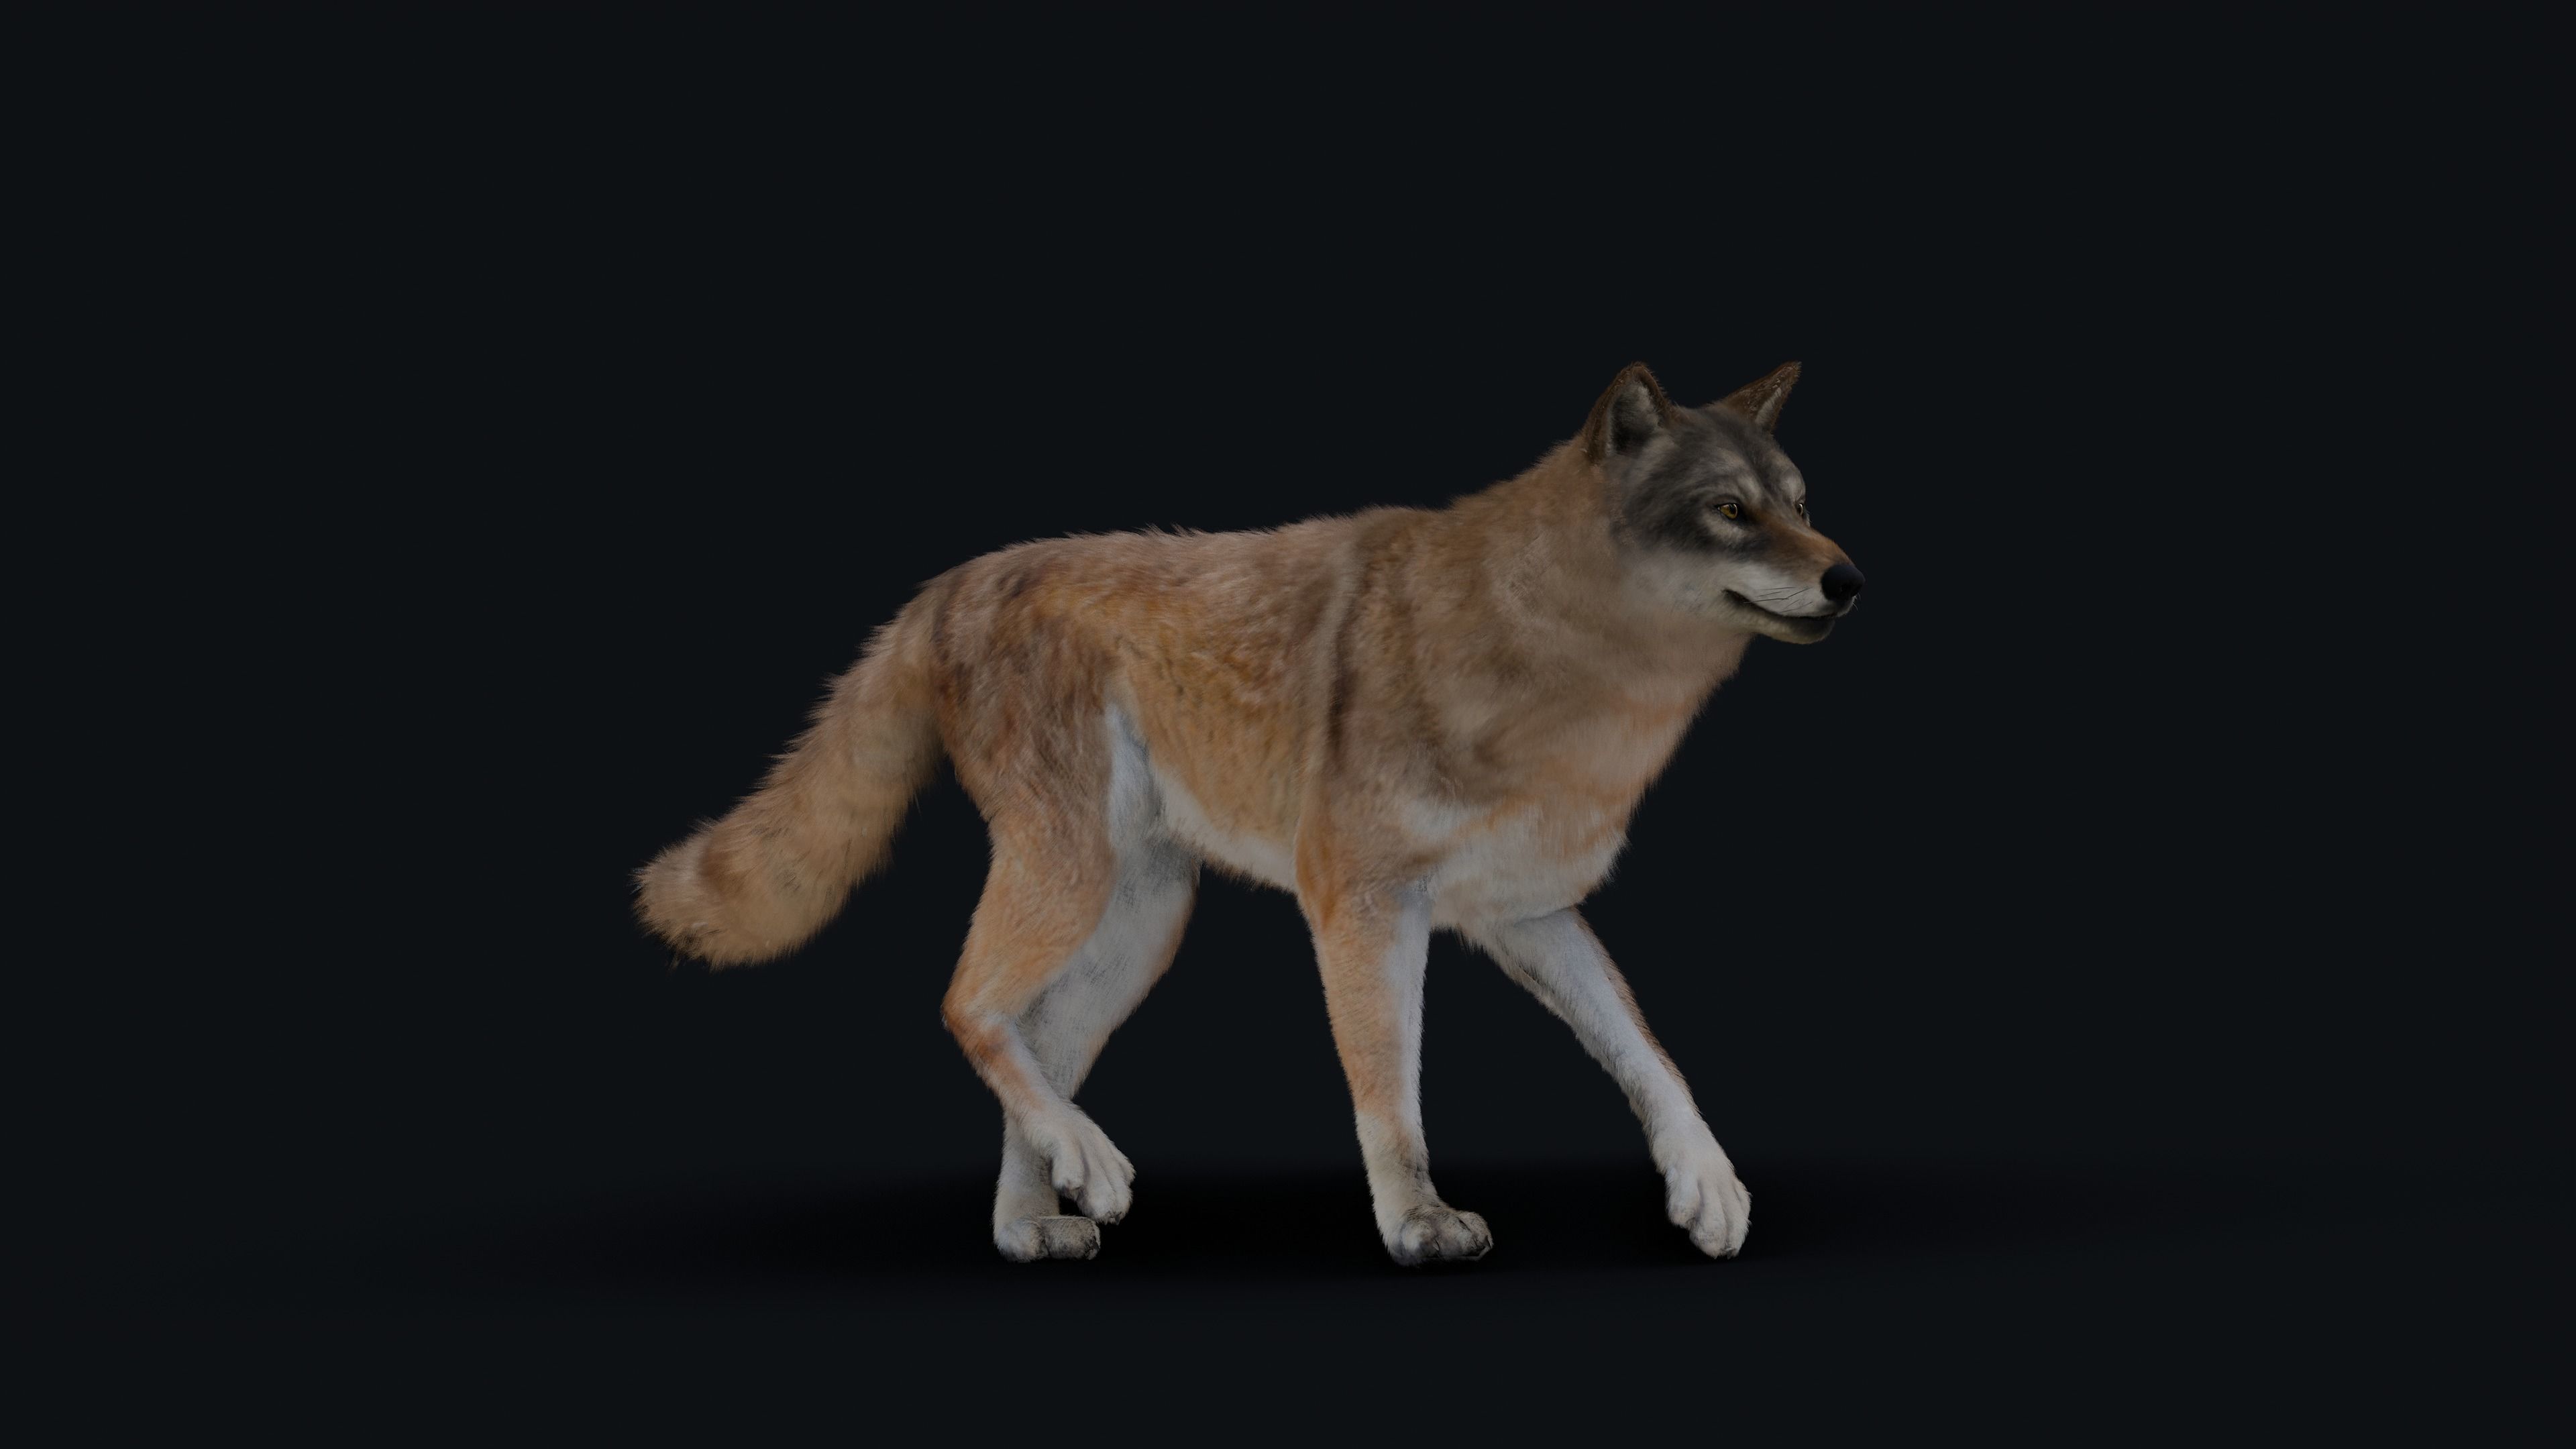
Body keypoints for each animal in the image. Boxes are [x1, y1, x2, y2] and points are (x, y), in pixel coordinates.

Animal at [636, 361, 1865, 1264]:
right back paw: (1084, 1162)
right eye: (1730, 512)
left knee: (1032, 1039)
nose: (1850, 580)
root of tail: (951, 581)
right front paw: (1417, 1224)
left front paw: (1707, 1181)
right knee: (963, 1005)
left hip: (1139, 927)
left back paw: (1033, 1220)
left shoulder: (1524, 914)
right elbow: (1391, 1087)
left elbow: (1646, 1050)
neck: (1559, 666)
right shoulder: (1362, 906)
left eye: (1803, 509)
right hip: (1071, 882)